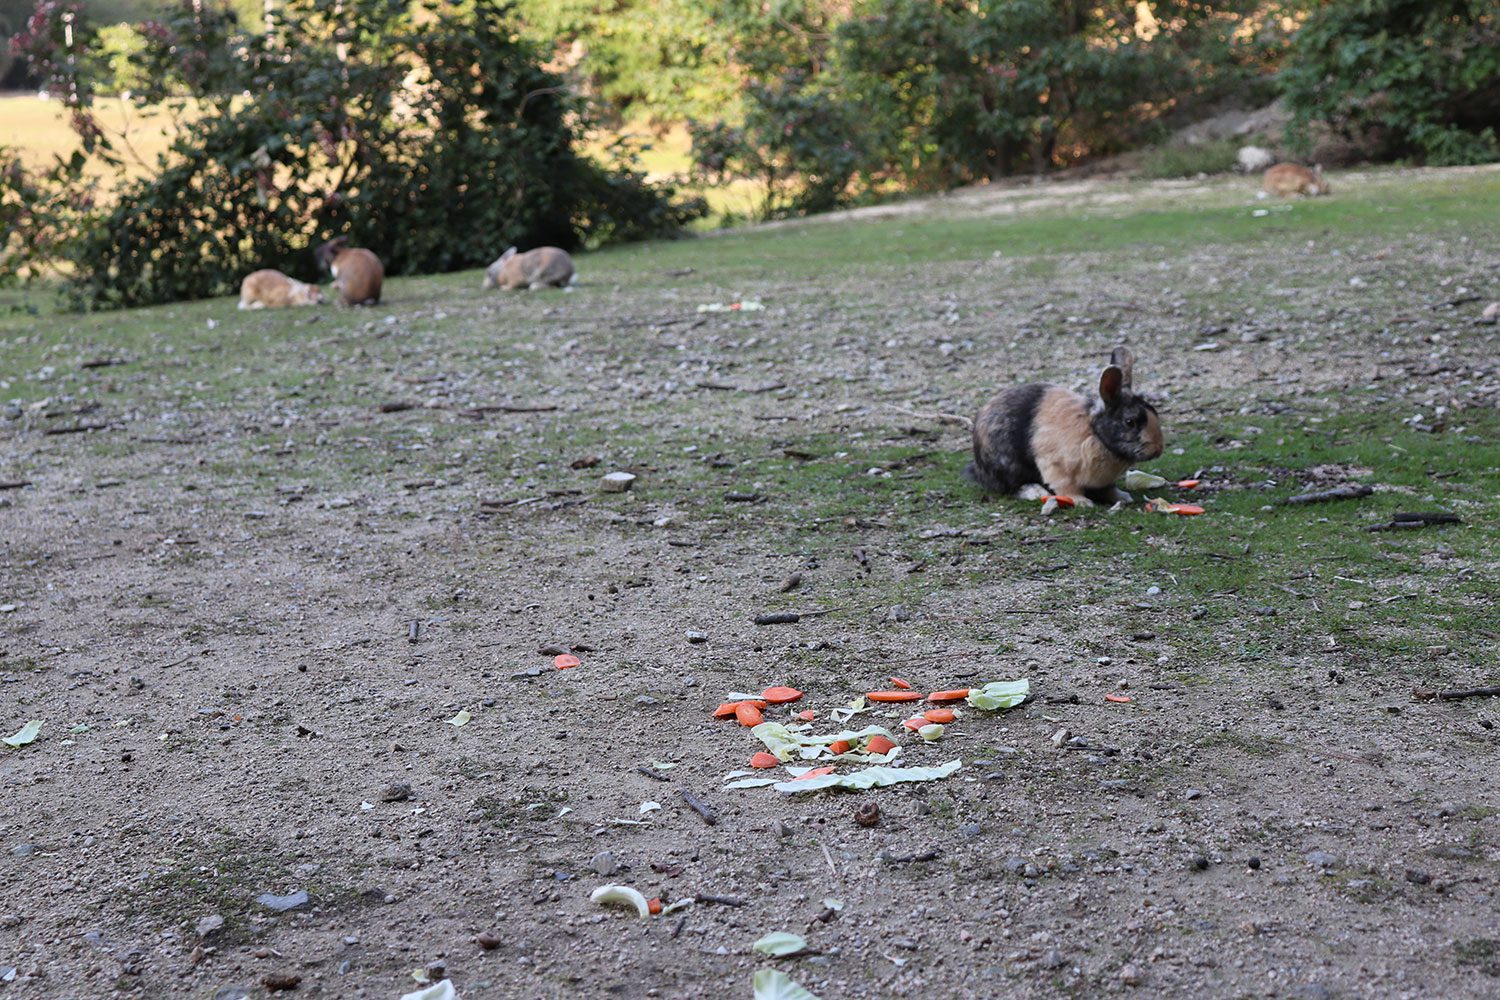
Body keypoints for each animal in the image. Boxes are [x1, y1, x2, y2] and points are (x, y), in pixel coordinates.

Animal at [966, 350, 1164, 509]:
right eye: (1130, 422)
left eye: (1154, 412)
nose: (1158, 449)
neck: (1095, 434)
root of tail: (978, 466)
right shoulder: (1057, 468)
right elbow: (1067, 488)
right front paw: (1083, 502)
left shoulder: (1104, 482)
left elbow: (1109, 490)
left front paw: (1123, 497)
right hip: (1006, 464)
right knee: (1012, 487)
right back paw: (1035, 492)